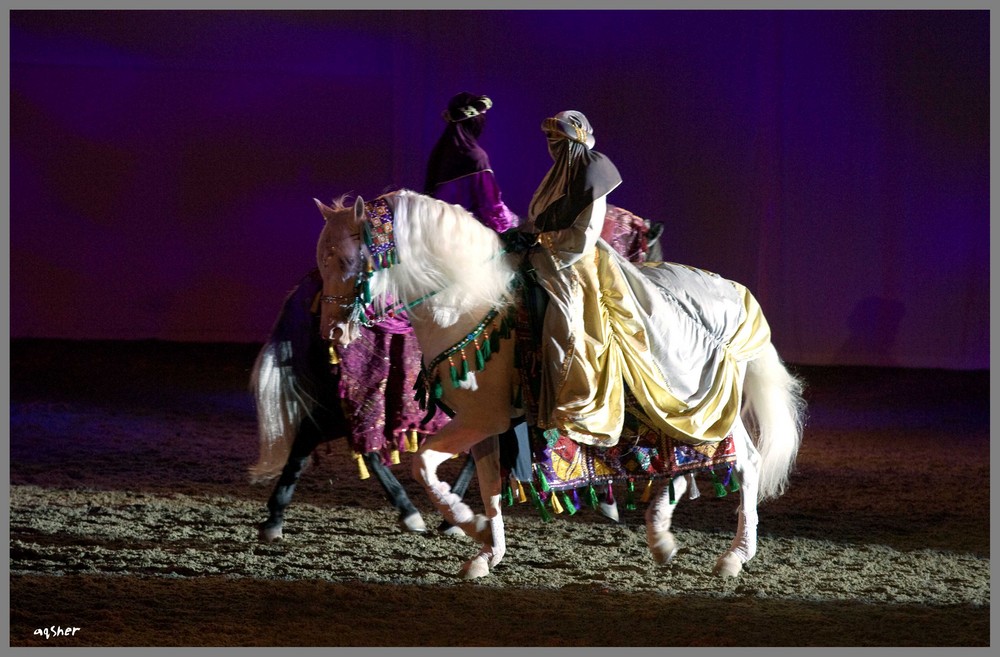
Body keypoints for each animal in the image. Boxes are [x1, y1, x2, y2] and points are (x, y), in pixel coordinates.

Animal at [316, 188, 808, 580]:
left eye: (347, 259)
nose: (332, 333)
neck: (469, 298)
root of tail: (736, 292)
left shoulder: (482, 418)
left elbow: (423, 464)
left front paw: (466, 523)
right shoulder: (488, 425)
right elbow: (489, 487)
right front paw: (486, 551)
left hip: (708, 409)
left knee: (745, 464)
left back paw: (734, 555)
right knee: (683, 466)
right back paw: (661, 536)